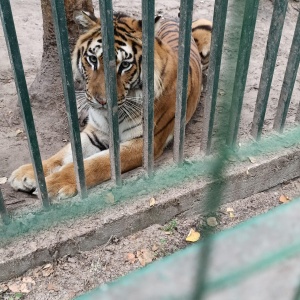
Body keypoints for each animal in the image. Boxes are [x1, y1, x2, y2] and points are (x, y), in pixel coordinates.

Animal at [8, 10, 211, 200]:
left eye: (125, 65)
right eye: (92, 59)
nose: (101, 100)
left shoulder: (145, 142)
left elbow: (95, 164)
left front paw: (54, 184)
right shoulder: (95, 132)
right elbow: (64, 154)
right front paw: (28, 174)